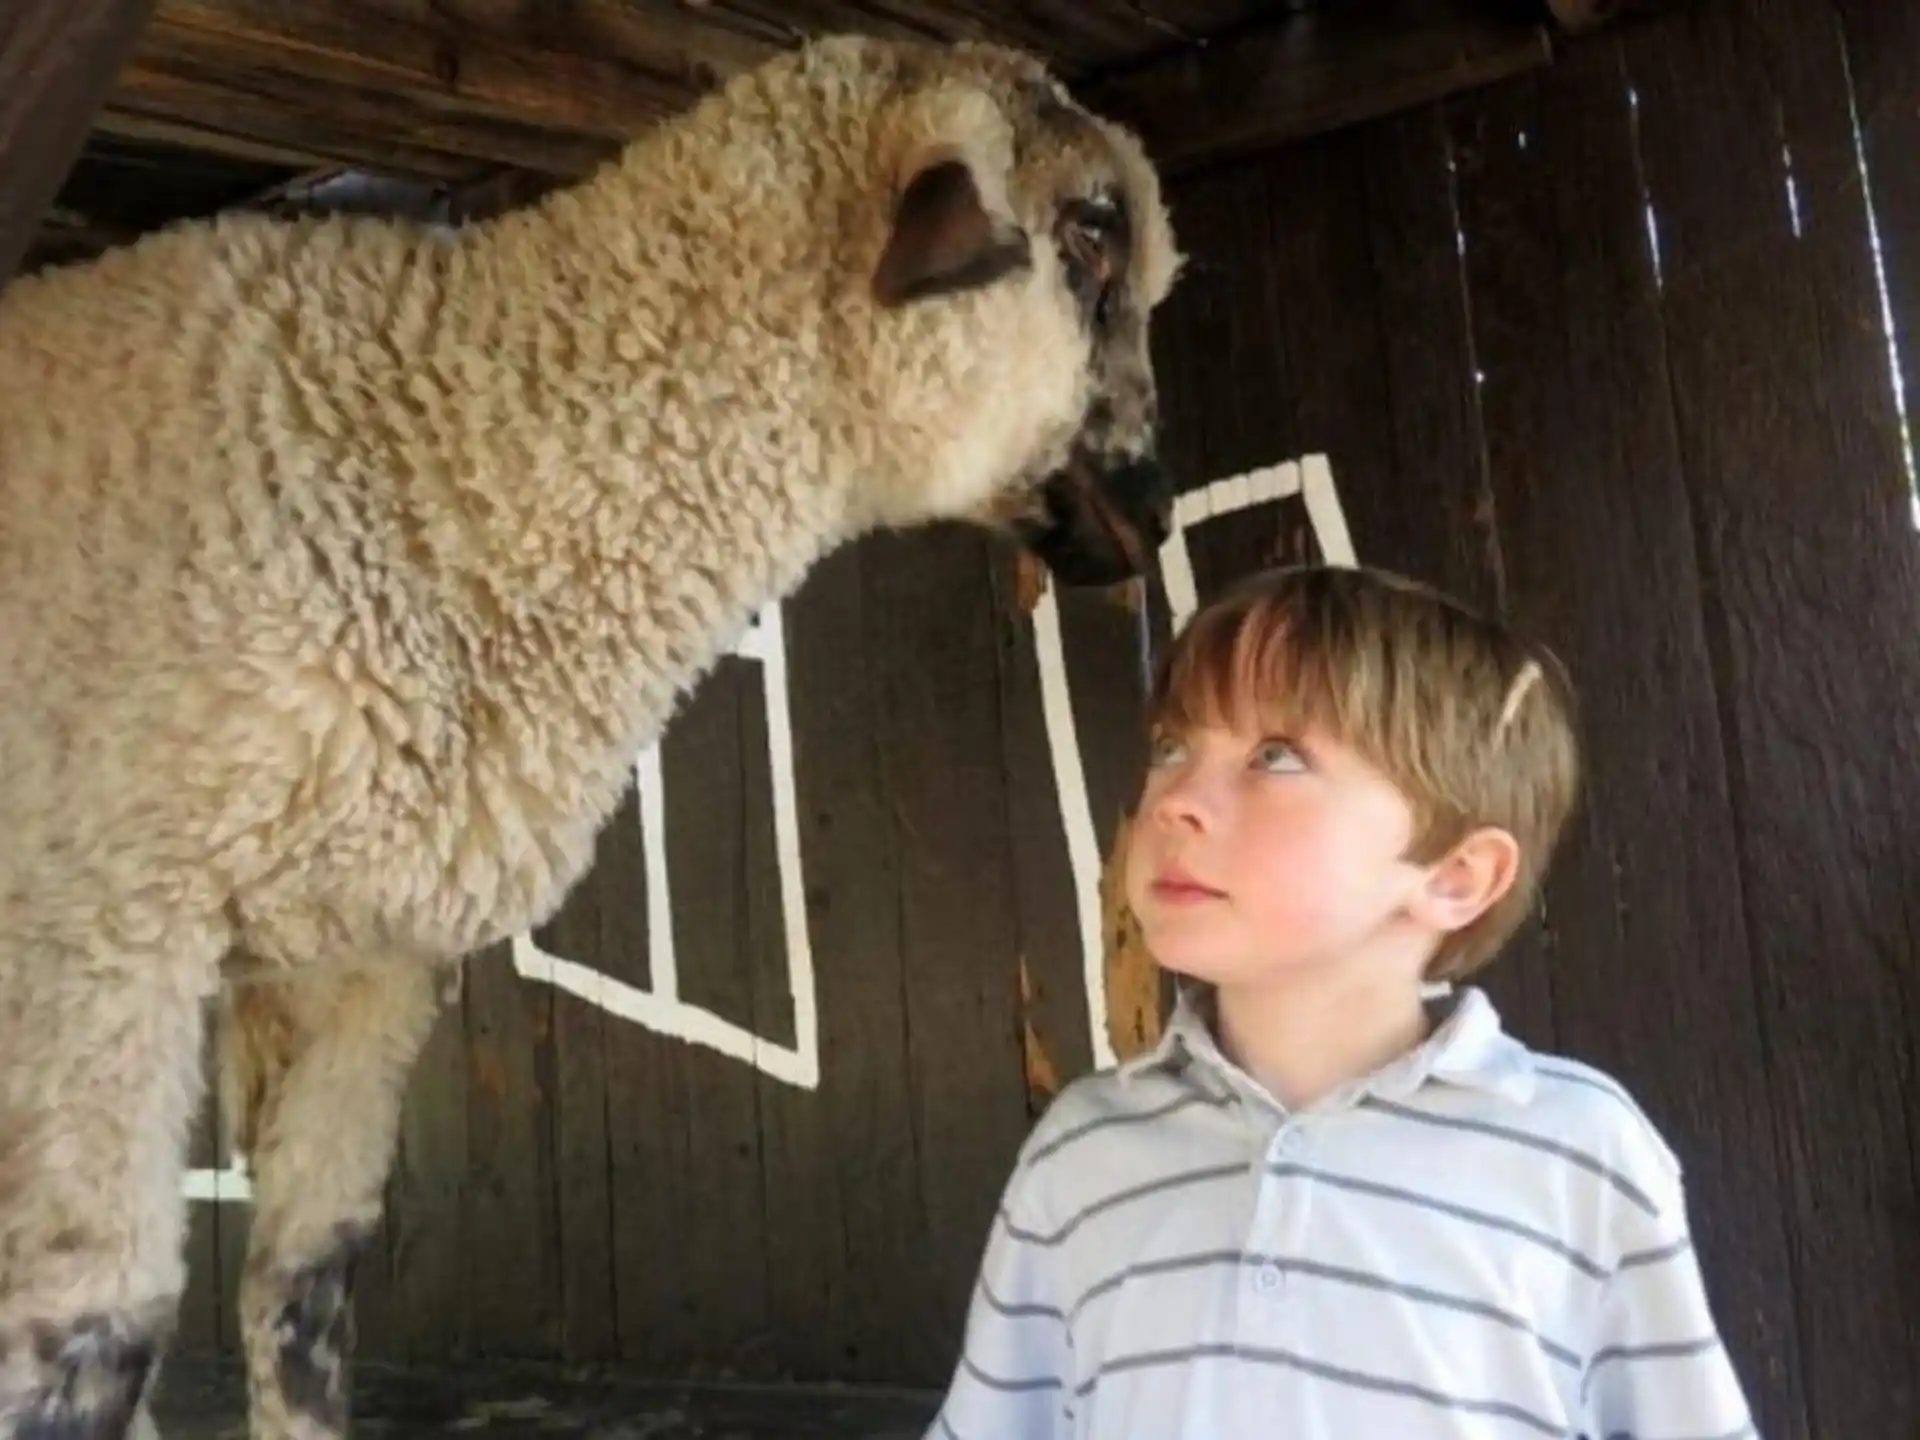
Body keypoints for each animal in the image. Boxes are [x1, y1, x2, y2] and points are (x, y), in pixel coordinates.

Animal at [0, 29, 1181, 1440]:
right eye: (1093, 233)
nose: (1158, 508)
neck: (446, 458)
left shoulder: (364, 957)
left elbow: (308, 1286)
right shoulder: (108, 925)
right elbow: (95, 1334)